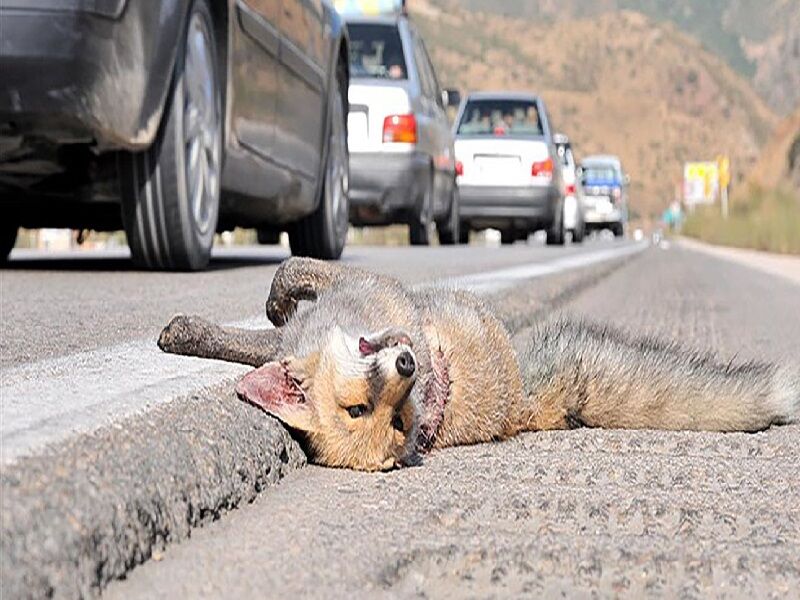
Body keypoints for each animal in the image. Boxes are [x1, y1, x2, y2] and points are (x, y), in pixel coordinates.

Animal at [159, 255, 796, 472]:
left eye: (396, 419)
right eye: (359, 408)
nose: (411, 365)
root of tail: (521, 409)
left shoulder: (367, 284)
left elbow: (292, 268)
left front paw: (269, 302)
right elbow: (244, 342)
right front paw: (192, 334)